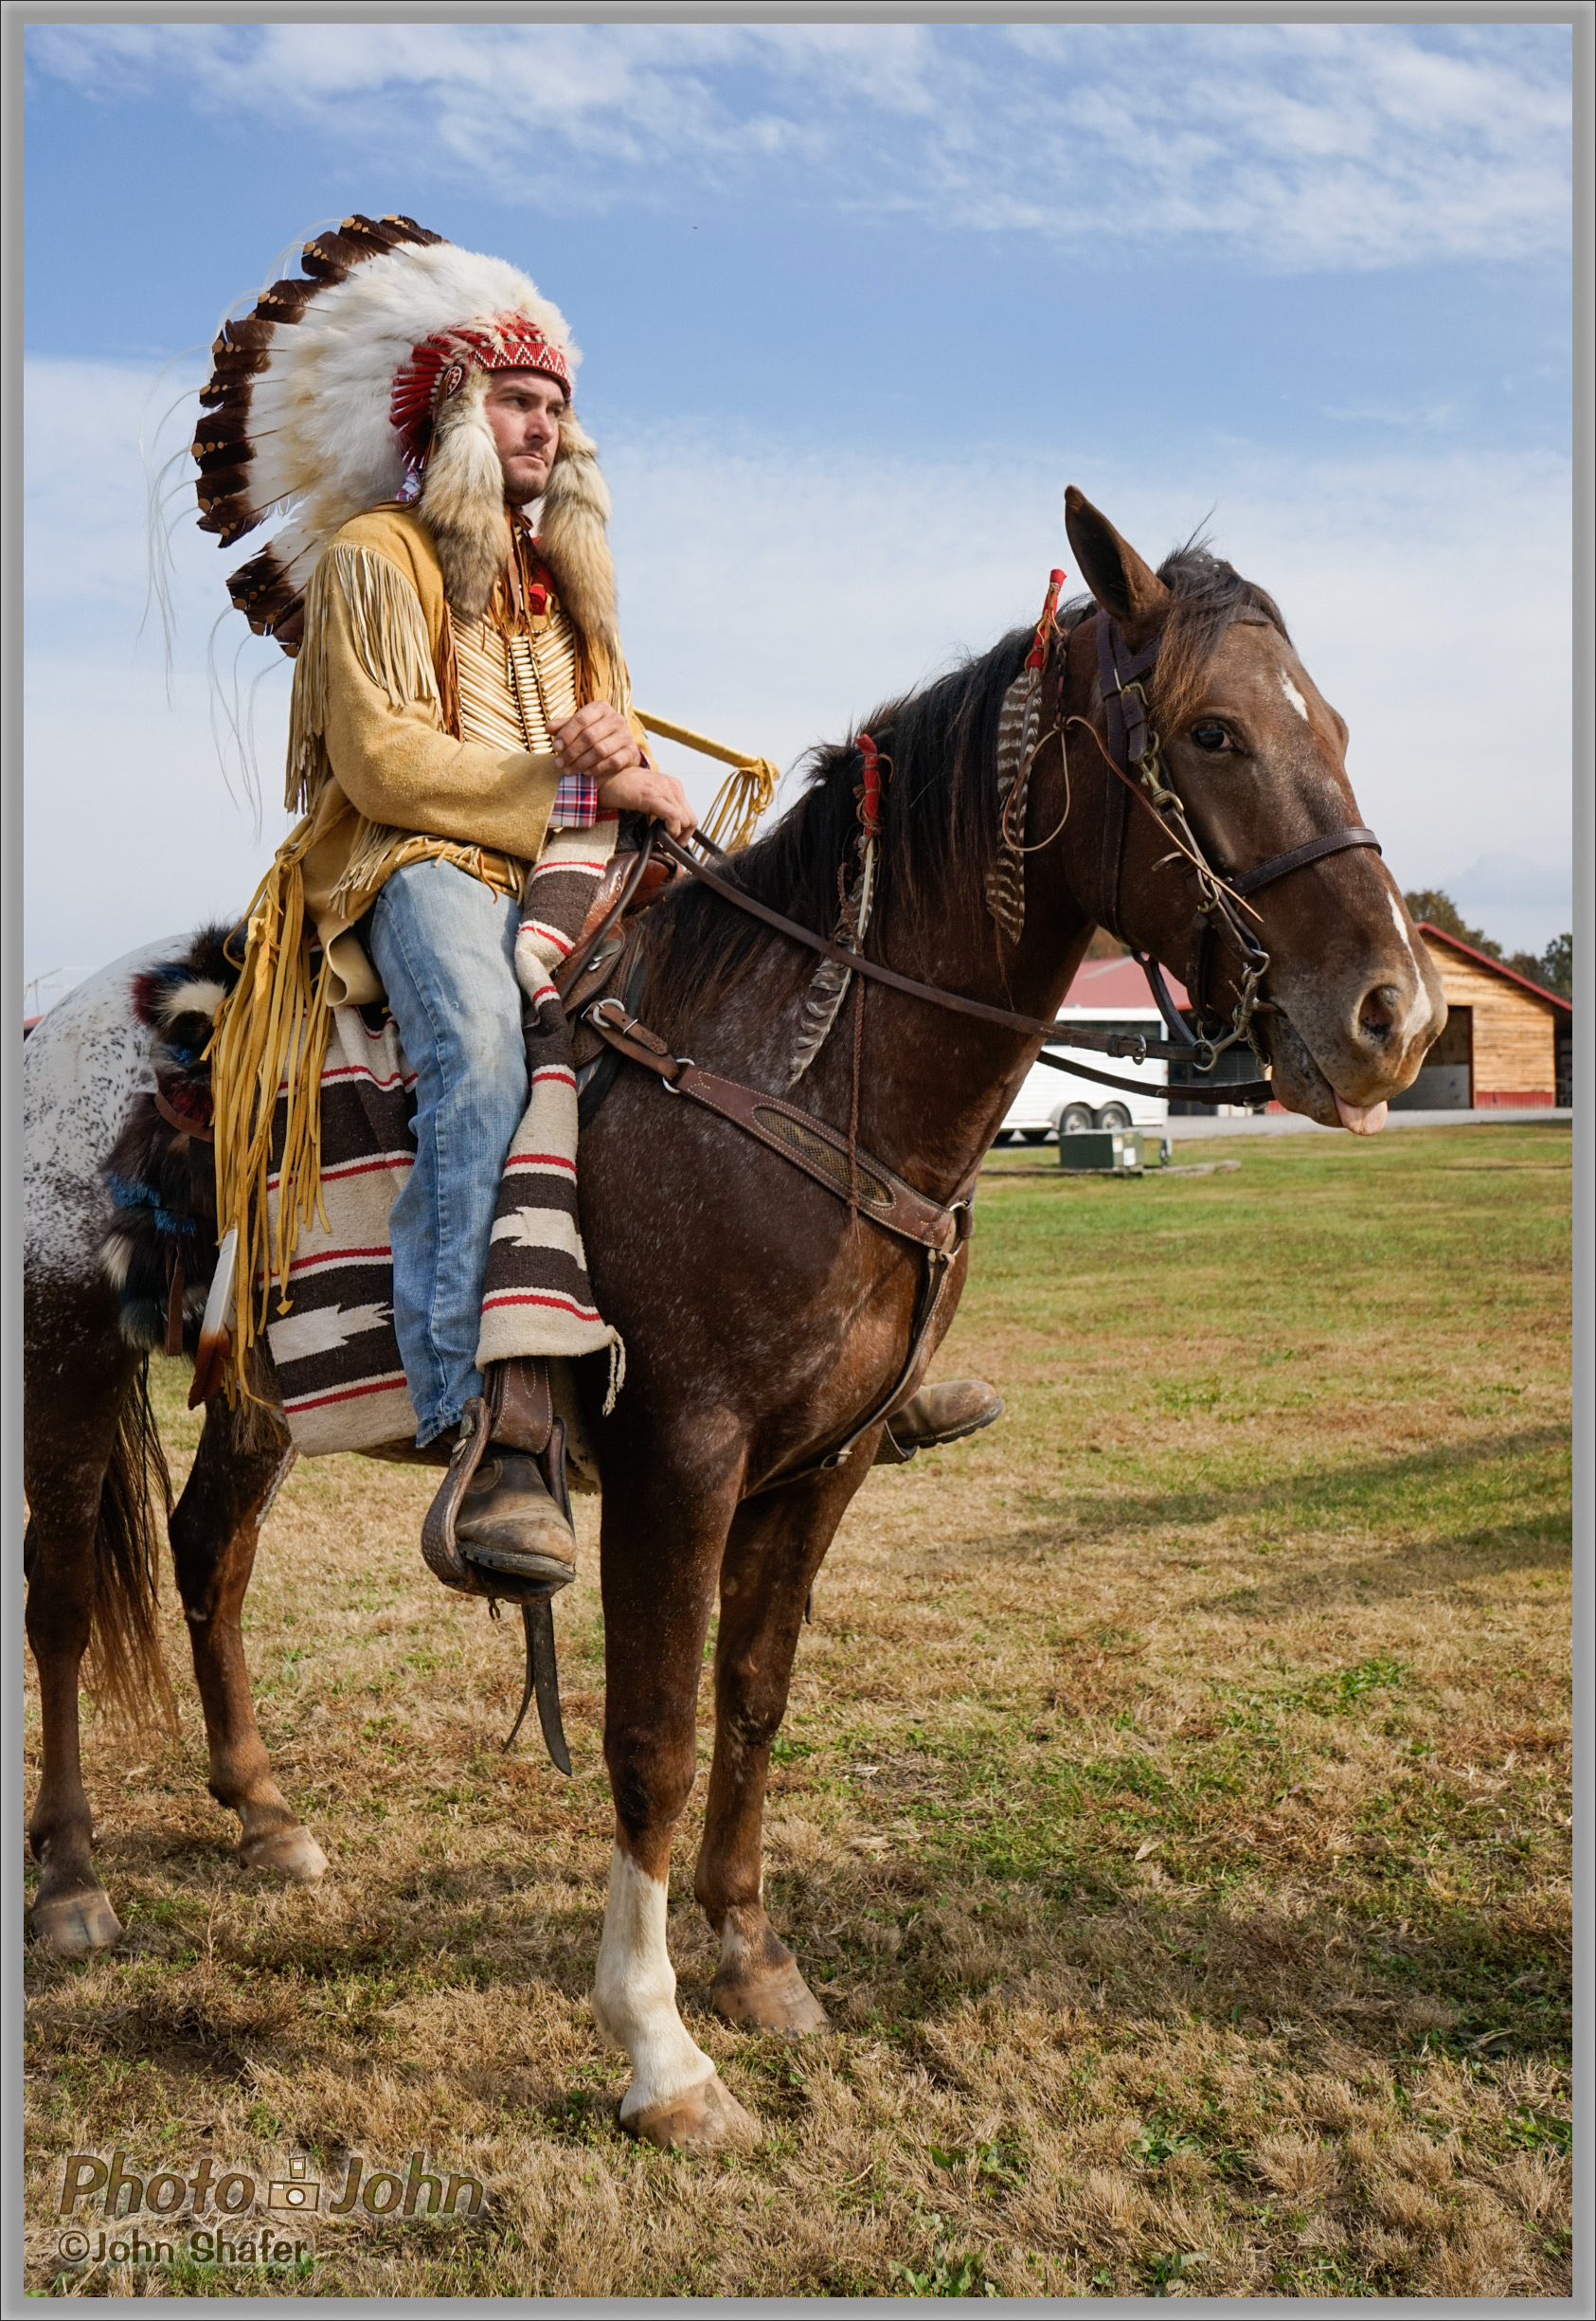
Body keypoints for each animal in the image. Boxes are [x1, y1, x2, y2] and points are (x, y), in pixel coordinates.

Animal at [25, 494, 1447, 2153]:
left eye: (1328, 724)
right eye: (1214, 730)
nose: (1395, 1016)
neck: (802, 1066)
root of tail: (74, 1019)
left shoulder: (818, 1464)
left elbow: (754, 1698)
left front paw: (754, 1955)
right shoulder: (679, 1462)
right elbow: (654, 1727)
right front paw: (661, 2050)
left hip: (265, 1389)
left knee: (210, 1555)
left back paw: (262, 1814)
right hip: (67, 1355)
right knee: (63, 1597)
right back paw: (71, 1877)